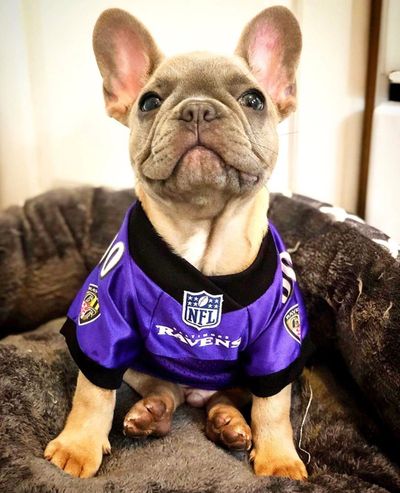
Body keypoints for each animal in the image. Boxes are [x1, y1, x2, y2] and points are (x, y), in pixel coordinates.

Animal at [44, 5, 312, 478]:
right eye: (149, 102)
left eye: (253, 99)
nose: (199, 110)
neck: (202, 232)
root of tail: (194, 395)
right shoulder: (104, 320)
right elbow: (93, 392)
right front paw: (77, 447)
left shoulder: (280, 341)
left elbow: (273, 406)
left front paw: (279, 459)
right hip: (141, 367)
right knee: (164, 391)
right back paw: (150, 414)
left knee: (229, 398)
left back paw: (228, 423)